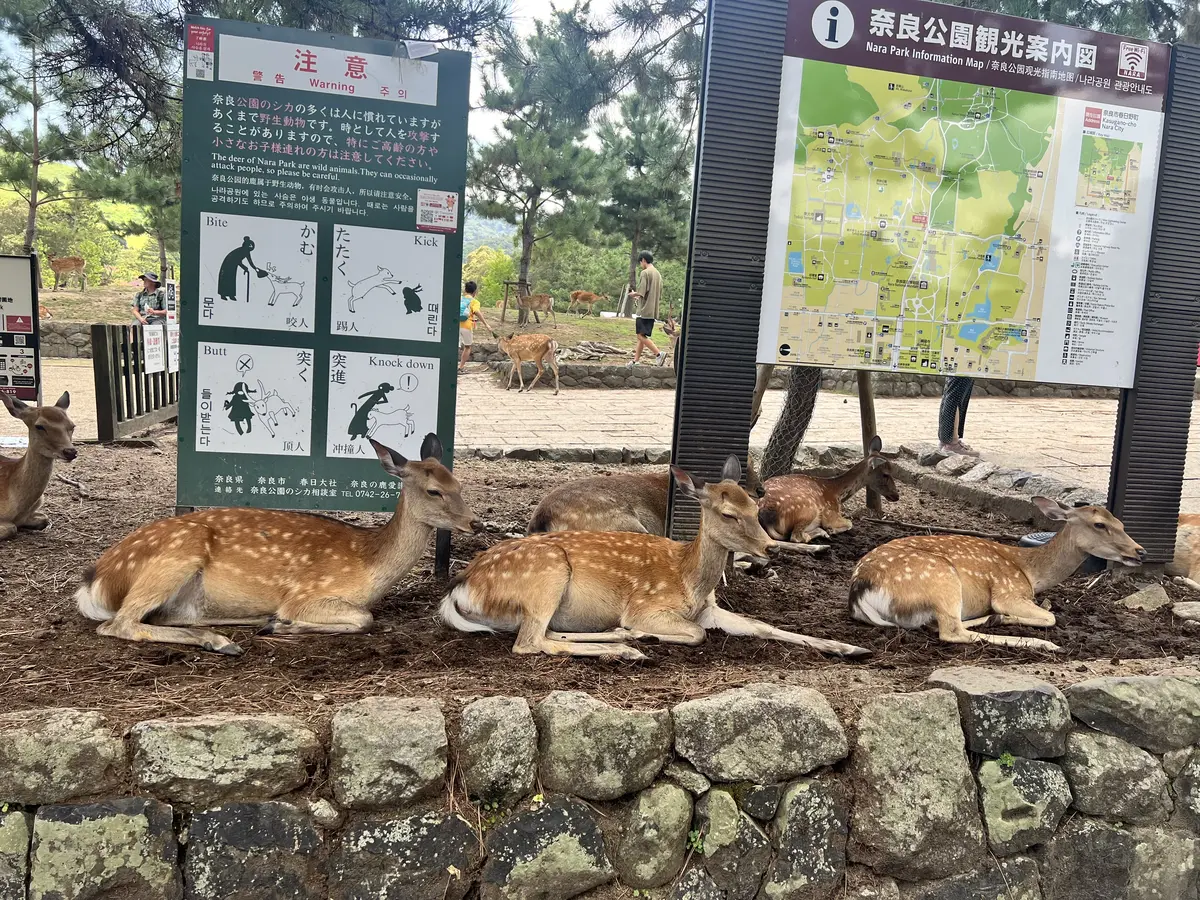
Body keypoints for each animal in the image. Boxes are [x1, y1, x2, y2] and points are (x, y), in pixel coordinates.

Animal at [75, 433, 481, 655]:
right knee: (119, 624)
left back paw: (233, 631)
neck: (367, 565)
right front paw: (285, 625)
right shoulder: (307, 593)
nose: (475, 522)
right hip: (176, 555)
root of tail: (95, 580)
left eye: (459, 483)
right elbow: (365, 618)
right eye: (434, 490)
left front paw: (275, 624)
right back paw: (227, 639)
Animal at [440, 455, 870, 660]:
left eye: (754, 506)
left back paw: (619, 637)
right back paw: (627, 648)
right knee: (529, 643)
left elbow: (762, 626)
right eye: (728, 514)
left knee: (546, 634)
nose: (770, 548)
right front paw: (642, 633)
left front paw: (850, 648)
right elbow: (696, 634)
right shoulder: (649, 605)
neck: (689, 580)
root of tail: (457, 589)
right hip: (546, 574)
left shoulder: (710, 610)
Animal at [758, 436, 900, 544]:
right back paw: (823, 532)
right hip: (808, 507)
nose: (896, 495)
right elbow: (849, 523)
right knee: (796, 537)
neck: (836, 493)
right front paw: (831, 530)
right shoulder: (830, 513)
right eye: (886, 474)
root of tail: (767, 515)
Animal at [848, 497, 1146, 652]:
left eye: (1121, 523)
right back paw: (1039, 642)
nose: (1140, 551)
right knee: (950, 631)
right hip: (942, 579)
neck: (1030, 573)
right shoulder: (1008, 591)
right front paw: (1007, 618)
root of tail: (860, 591)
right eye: (1099, 524)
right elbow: (1051, 617)